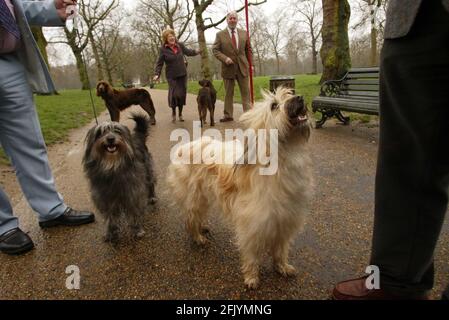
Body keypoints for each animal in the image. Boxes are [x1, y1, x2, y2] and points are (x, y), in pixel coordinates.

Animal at [82, 114, 158, 242]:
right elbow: (110, 218)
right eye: (100, 132)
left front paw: (137, 230)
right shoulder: (105, 199)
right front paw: (111, 232)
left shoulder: (133, 194)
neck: (113, 166)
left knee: (151, 183)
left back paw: (152, 197)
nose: (110, 139)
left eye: (117, 131)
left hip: (148, 170)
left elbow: (134, 213)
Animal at [166, 87, 314, 288]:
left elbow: (280, 249)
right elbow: (251, 253)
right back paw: (198, 237)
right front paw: (251, 277)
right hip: (194, 196)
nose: (300, 97)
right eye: (274, 105)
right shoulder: (253, 223)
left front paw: (282, 266)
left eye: (290, 94)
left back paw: (203, 227)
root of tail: (184, 146)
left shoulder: (285, 219)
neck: (283, 157)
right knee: (191, 219)